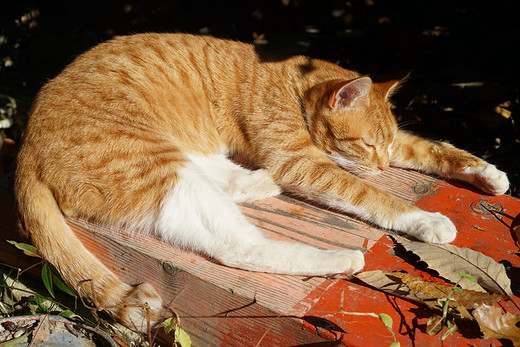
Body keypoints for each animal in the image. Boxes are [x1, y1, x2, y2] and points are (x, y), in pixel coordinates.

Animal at [15, 32, 508, 332]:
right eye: (367, 145)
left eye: (384, 146)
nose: (386, 167)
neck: (292, 82)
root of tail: (26, 143)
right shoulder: (301, 161)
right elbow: (370, 194)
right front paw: (424, 218)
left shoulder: (390, 147)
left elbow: (431, 148)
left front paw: (486, 171)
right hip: (161, 170)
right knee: (237, 247)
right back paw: (339, 258)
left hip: (183, 154)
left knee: (224, 183)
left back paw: (261, 183)